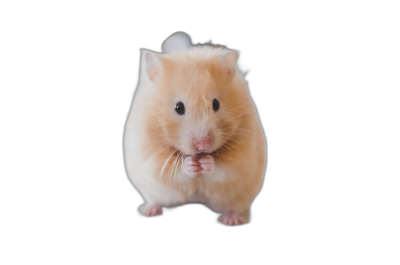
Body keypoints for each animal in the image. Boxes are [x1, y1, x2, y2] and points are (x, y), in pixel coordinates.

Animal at [123, 31, 268, 225]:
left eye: (216, 104)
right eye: (178, 107)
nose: (202, 145)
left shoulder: (242, 157)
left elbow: (224, 168)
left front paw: (206, 162)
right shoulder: (150, 156)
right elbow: (173, 169)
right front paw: (191, 164)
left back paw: (231, 220)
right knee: (154, 199)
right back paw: (150, 210)